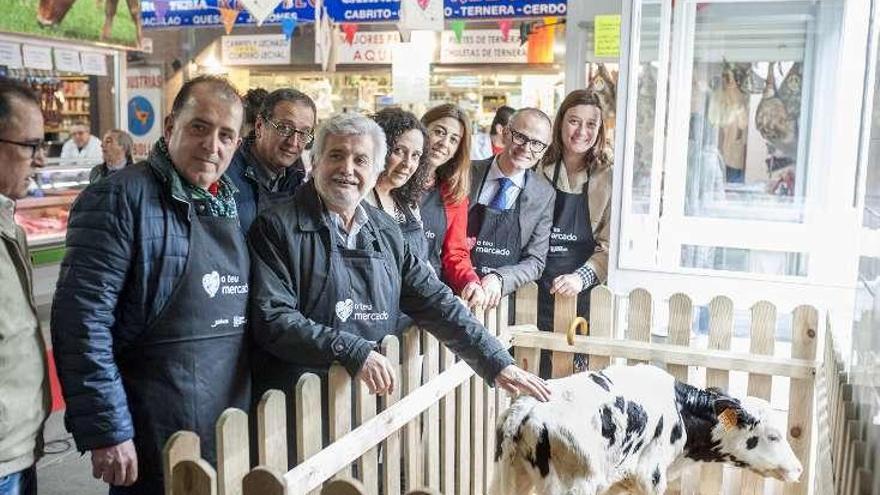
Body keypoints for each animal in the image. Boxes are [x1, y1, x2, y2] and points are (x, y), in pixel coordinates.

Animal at [492, 364, 800, 495]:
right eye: (773, 435)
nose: (798, 469)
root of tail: (528, 405)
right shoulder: (650, 478)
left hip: (511, 477)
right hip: (572, 487)